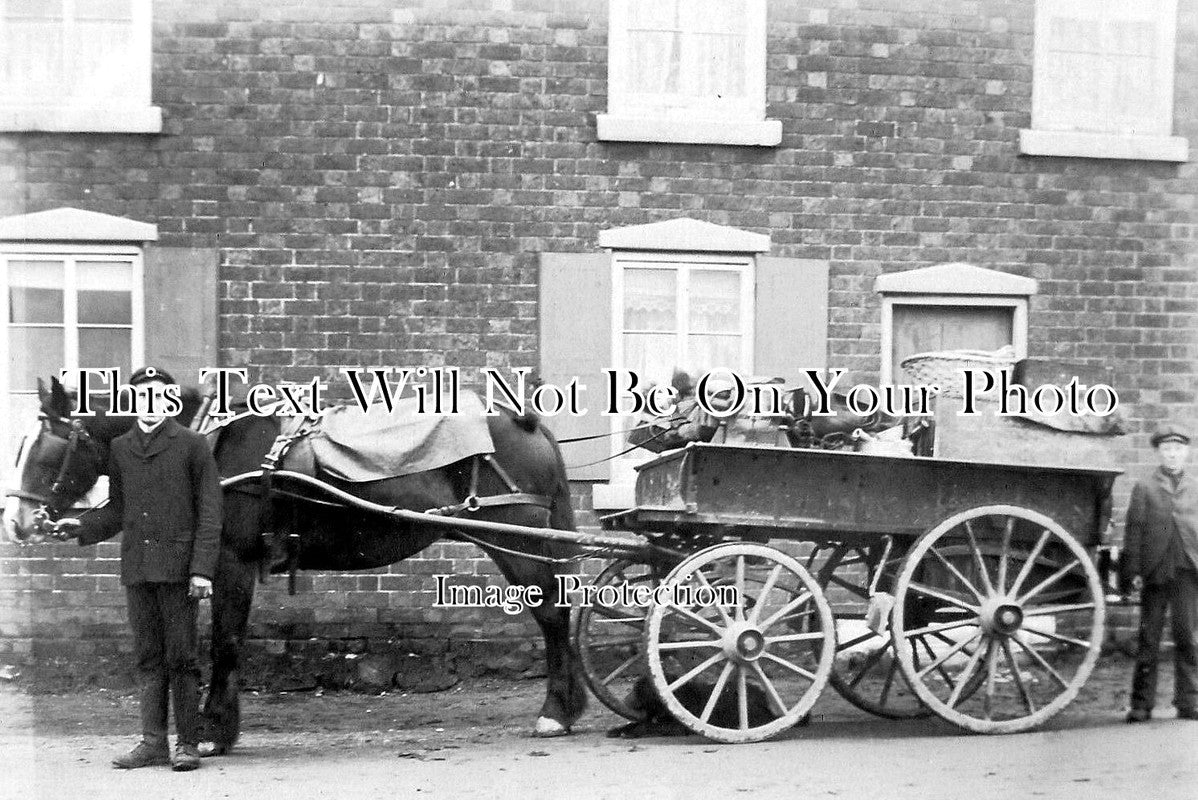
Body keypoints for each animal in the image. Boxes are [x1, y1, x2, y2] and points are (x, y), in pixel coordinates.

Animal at [7, 376, 587, 752]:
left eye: (45, 450)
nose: (17, 521)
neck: (213, 446)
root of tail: (525, 422)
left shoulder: (232, 561)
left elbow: (225, 642)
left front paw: (213, 732)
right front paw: (216, 729)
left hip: (517, 543)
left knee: (553, 618)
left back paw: (556, 713)